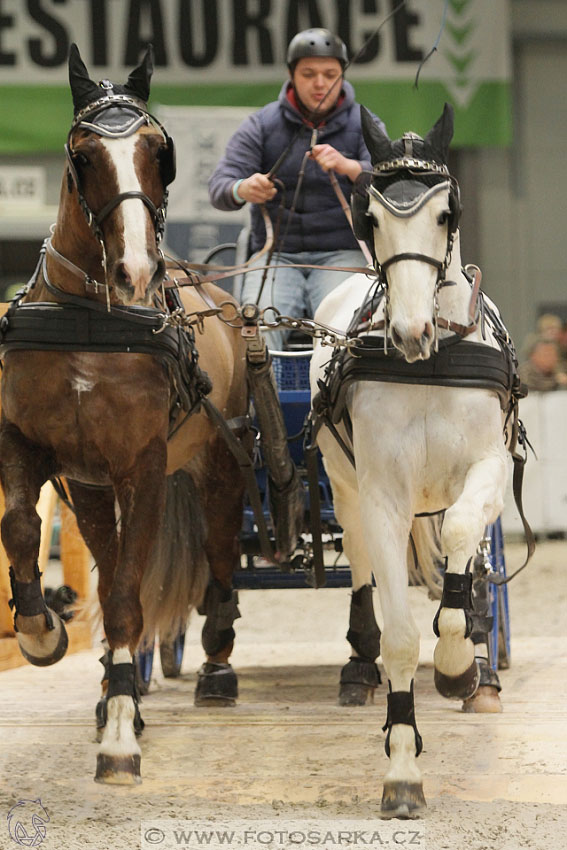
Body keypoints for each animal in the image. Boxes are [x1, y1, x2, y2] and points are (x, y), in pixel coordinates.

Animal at [0, 48, 248, 780]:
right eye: (83, 155)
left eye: (158, 152)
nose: (138, 269)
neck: (91, 319)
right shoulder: (32, 446)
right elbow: (22, 528)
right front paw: (42, 630)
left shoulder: (141, 465)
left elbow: (127, 597)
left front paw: (118, 734)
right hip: (89, 488)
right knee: (111, 570)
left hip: (219, 464)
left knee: (218, 557)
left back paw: (214, 667)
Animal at [310, 102, 524, 820]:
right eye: (371, 217)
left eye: (444, 214)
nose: (407, 333)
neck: (433, 360)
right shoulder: (381, 492)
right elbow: (401, 633)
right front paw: (402, 770)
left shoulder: (487, 472)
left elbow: (459, 537)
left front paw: (460, 662)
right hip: (345, 488)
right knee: (362, 568)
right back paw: (358, 664)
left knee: (461, 550)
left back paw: (476, 662)